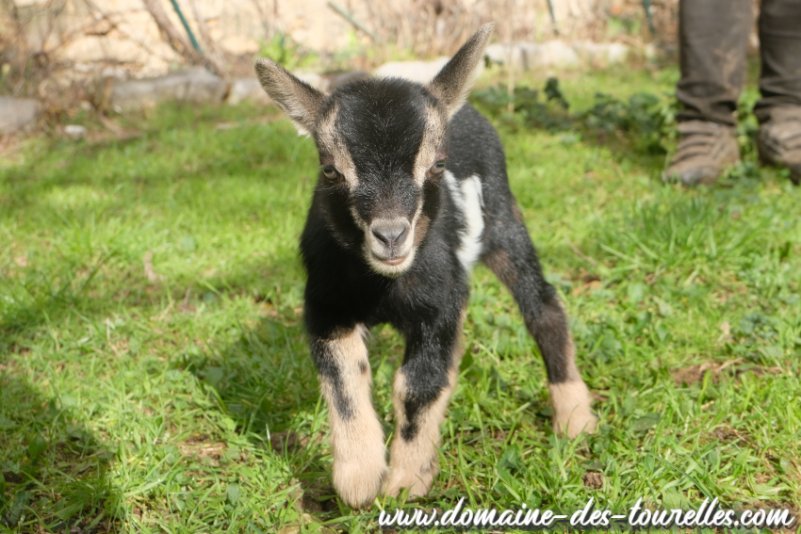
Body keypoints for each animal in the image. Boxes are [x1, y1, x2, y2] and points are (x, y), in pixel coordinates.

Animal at [255, 24, 597, 509]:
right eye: (330, 171)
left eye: (437, 164)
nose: (390, 235)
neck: (384, 285)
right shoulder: (326, 307)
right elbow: (344, 379)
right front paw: (359, 479)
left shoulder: (438, 308)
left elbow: (416, 385)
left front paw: (404, 483)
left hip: (505, 226)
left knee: (542, 306)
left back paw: (574, 418)